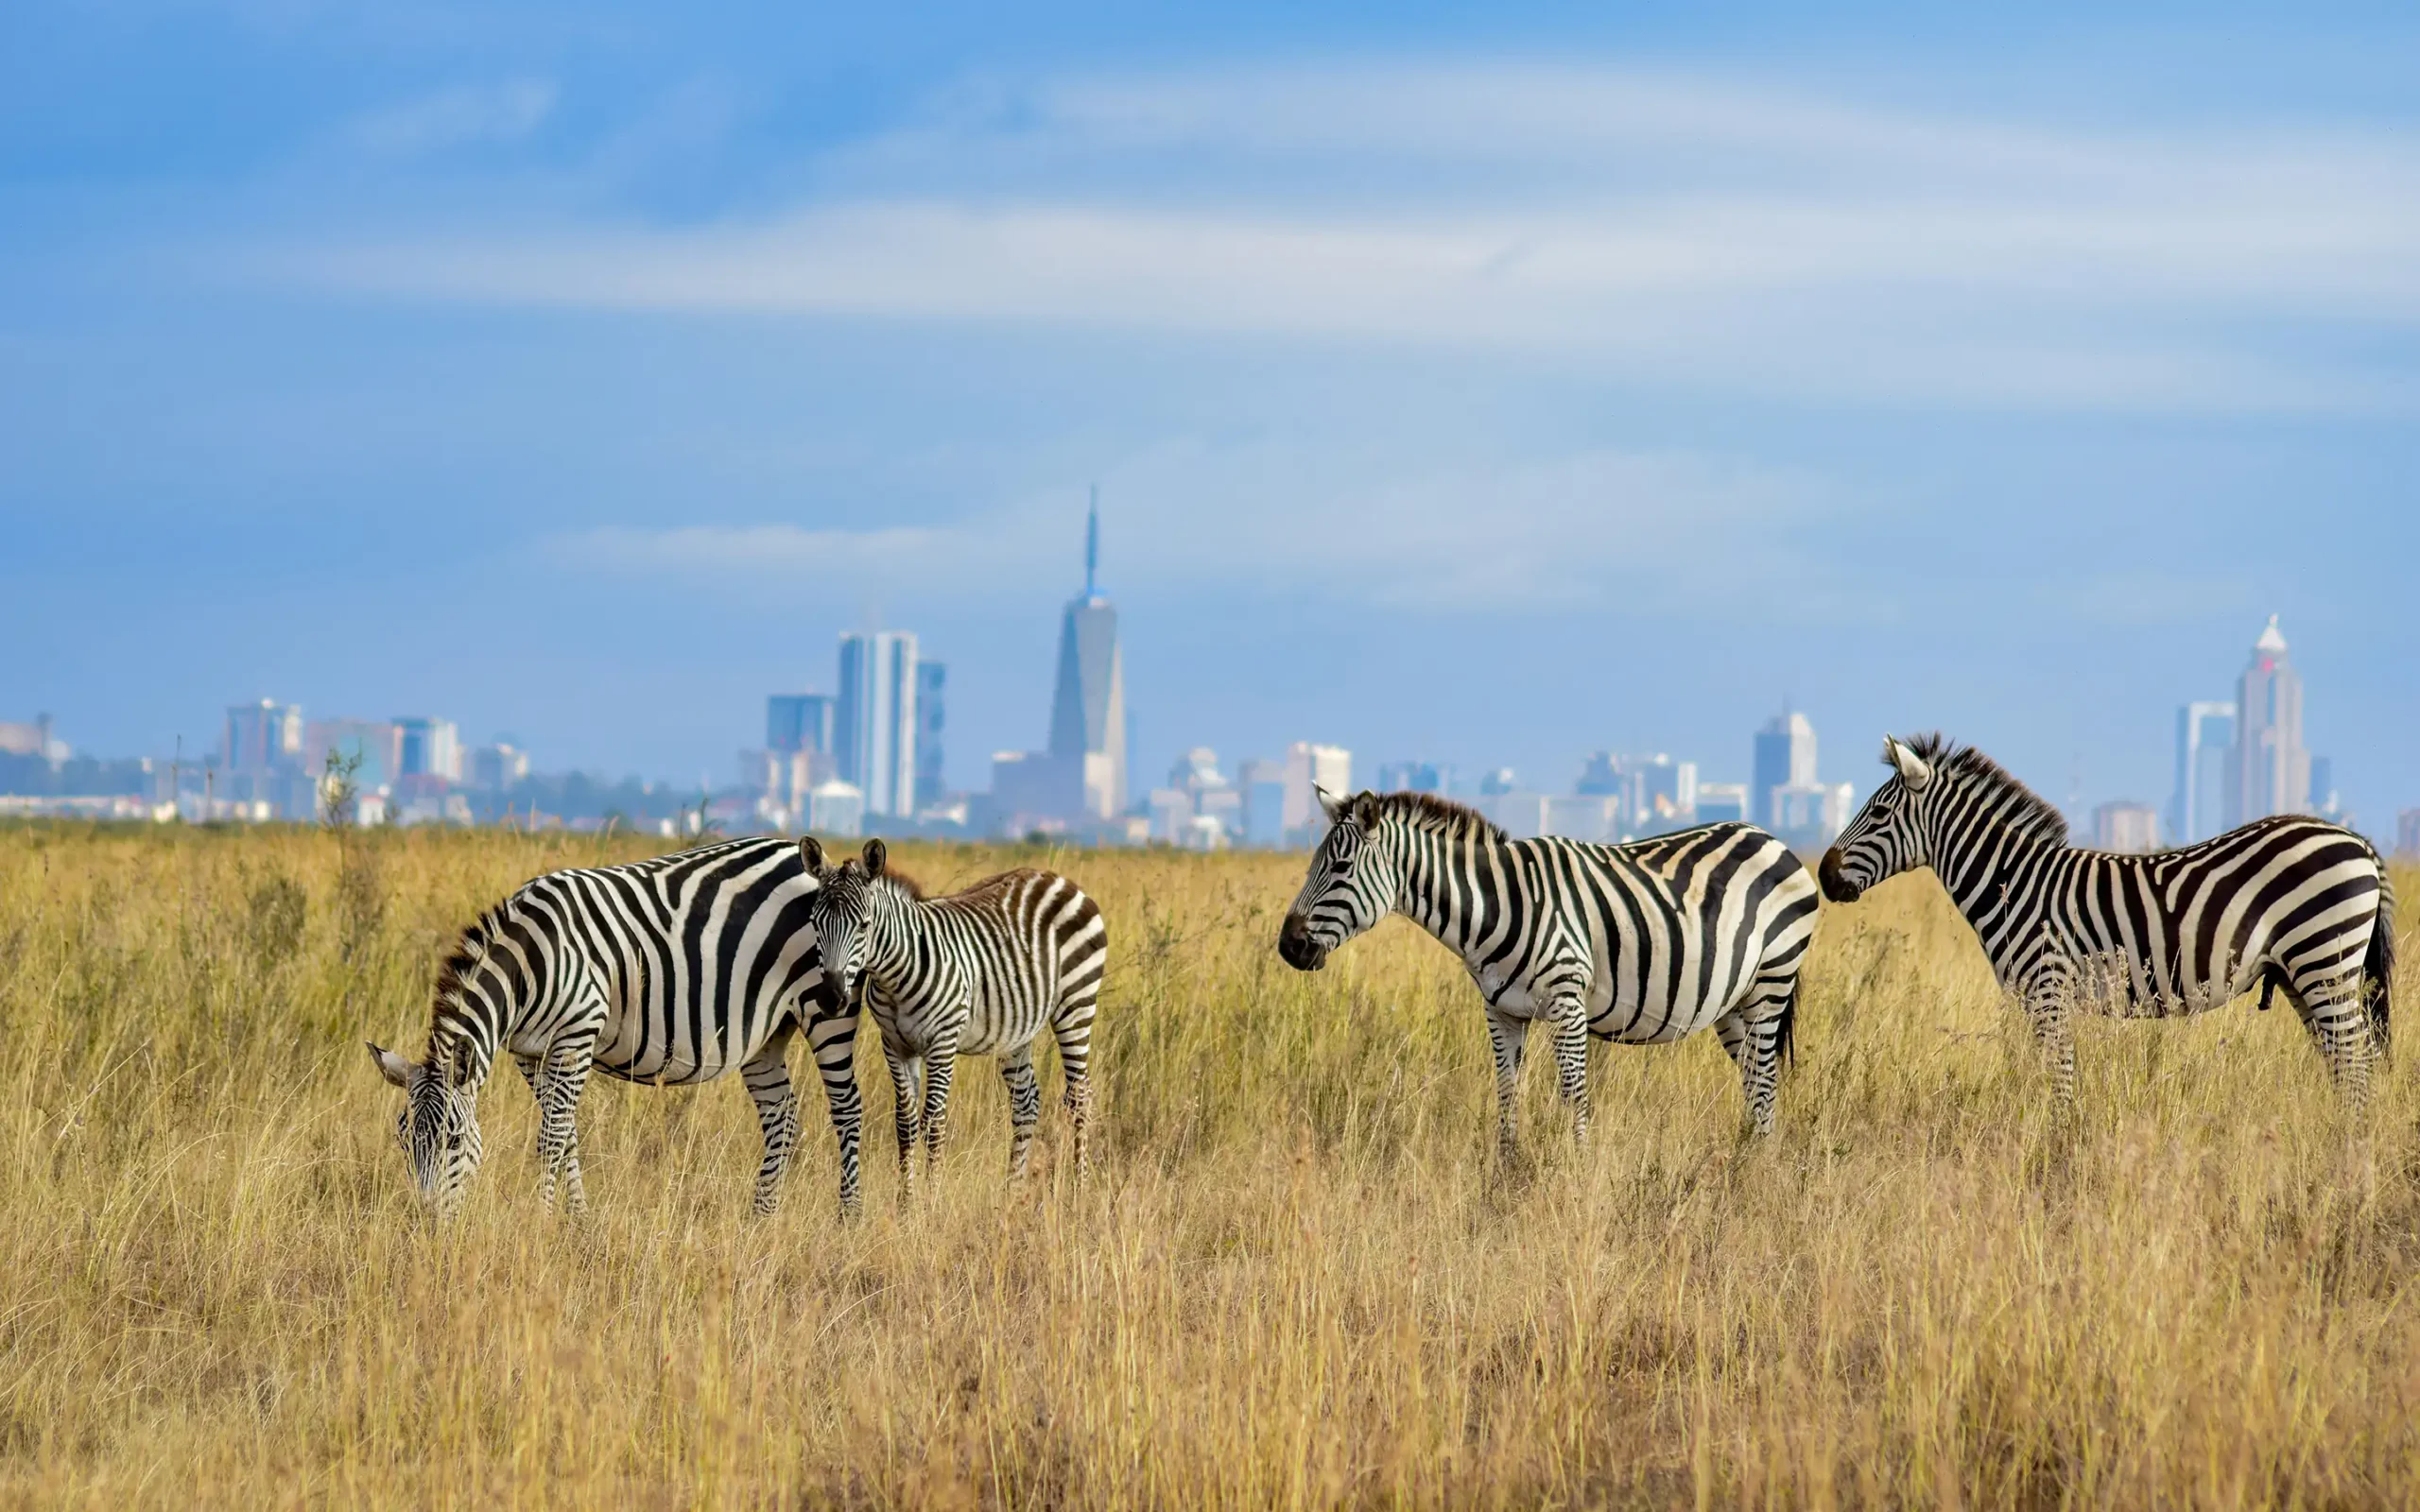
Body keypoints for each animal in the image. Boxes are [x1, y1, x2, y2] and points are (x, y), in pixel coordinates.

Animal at [363, 832, 866, 1219]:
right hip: (767, 1031)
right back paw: (761, 1217)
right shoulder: (529, 1053)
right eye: (403, 1140)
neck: (528, 966)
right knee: (782, 1115)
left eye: (453, 1139)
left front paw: (543, 1222)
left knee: (847, 1108)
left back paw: (849, 1218)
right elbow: (566, 1136)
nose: (428, 1223)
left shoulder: (577, 1035)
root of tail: (803, 858)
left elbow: (551, 1138)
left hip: (826, 1007)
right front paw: (578, 1221)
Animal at [803, 836, 1108, 1190]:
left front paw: (932, 1196)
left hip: (1076, 1004)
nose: (832, 999)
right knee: (1026, 1102)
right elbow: (905, 1124)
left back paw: (1078, 1187)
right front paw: (906, 1198)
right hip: (1017, 1028)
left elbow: (933, 1123)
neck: (895, 975)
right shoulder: (895, 1046)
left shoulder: (942, 1044)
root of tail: (1058, 878)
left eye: (864, 926)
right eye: (814, 923)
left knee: (1080, 1096)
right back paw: (1013, 1189)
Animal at [1287, 783, 1820, 1151]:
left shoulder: (1568, 1003)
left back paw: (1755, 1172)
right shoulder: (1501, 1011)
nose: (1288, 946)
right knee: (1755, 1083)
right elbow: (1507, 1094)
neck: (1497, 906)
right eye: (1312, 864)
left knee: (1765, 1084)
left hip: (1771, 982)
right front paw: (1506, 1178)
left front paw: (1576, 1177)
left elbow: (1574, 1096)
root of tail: (1772, 839)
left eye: (1340, 869)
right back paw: (1746, 1162)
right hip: (1734, 1004)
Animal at [1820, 735, 2400, 1103]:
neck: (2014, 883)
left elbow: (2060, 1081)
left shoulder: (2048, 991)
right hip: (2305, 974)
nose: (1824, 876)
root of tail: (2358, 841)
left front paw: (2058, 1153)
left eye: (1878, 813)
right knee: (2347, 1063)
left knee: (2356, 1064)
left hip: (2323, 959)